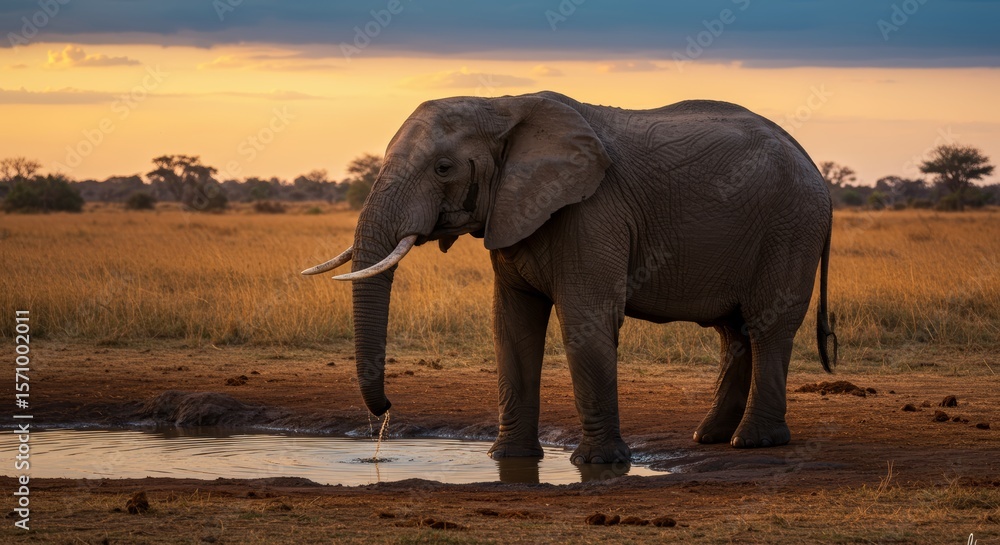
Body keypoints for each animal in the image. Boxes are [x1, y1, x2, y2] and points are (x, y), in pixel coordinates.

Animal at [303, 91, 837, 465]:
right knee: (733, 331)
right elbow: (512, 326)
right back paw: (709, 437)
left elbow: (586, 320)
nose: (385, 411)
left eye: (443, 168)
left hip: (791, 226)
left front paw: (599, 464)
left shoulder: (593, 211)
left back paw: (754, 442)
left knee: (767, 326)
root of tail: (814, 164)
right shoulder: (513, 212)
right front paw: (507, 458)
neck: (502, 106)